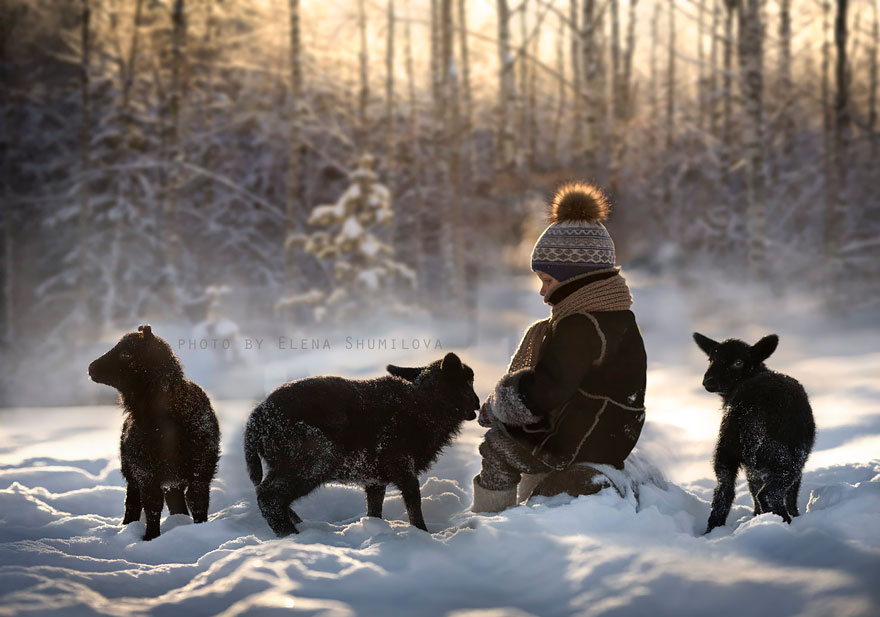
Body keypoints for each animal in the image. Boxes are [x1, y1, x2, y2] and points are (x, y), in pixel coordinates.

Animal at [87, 322, 222, 540]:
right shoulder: (145, 472)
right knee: (133, 503)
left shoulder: (201, 471)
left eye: (126, 353)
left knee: (175, 501)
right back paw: (127, 526)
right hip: (132, 471)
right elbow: (152, 506)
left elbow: (198, 502)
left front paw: (199, 530)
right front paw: (151, 537)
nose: (91, 368)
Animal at [242, 352, 482, 536]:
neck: (426, 404)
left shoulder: (374, 477)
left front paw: (375, 529)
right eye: (467, 382)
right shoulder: (401, 463)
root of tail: (255, 420)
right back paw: (291, 535)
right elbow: (414, 502)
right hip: (313, 457)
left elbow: (375, 509)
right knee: (269, 497)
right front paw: (423, 534)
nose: (479, 403)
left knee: (269, 494)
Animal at [696, 332, 820, 536]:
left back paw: (713, 532)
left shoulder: (752, 469)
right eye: (711, 359)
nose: (708, 381)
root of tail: (745, 410)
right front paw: (794, 514)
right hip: (783, 456)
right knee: (769, 494)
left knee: (724, 492)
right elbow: (791, 493)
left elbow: (752, 488)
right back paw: (784, 524)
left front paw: (756, 515)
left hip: (726, 450)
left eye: (738, 362)